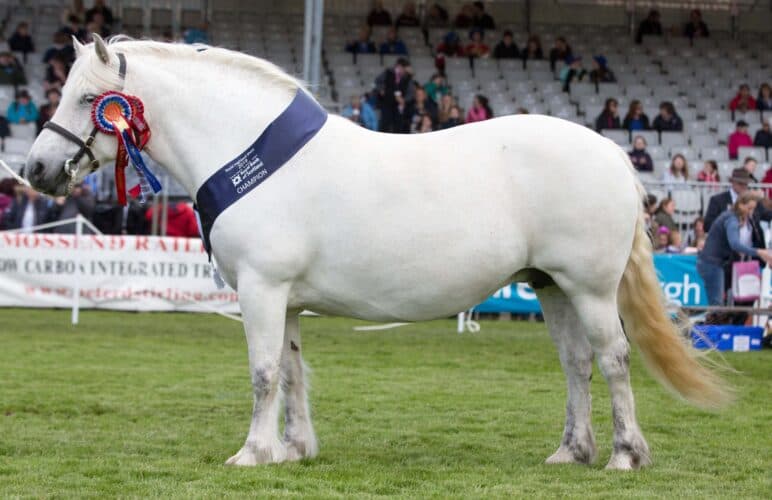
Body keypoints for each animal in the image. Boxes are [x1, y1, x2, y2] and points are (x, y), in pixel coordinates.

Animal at [25, 36, 729, 469]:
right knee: (576, 364)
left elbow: (262, 372)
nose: (36, 168)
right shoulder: (286, 300)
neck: (253, 156)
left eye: (89, 99)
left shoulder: (260, 288)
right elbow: (293, 371)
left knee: (612, 360)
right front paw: (294, 449)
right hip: (550, 285)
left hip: (589, 288)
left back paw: (624, 455)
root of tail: (611, 151)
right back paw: (570, 453)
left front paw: (251, 453)